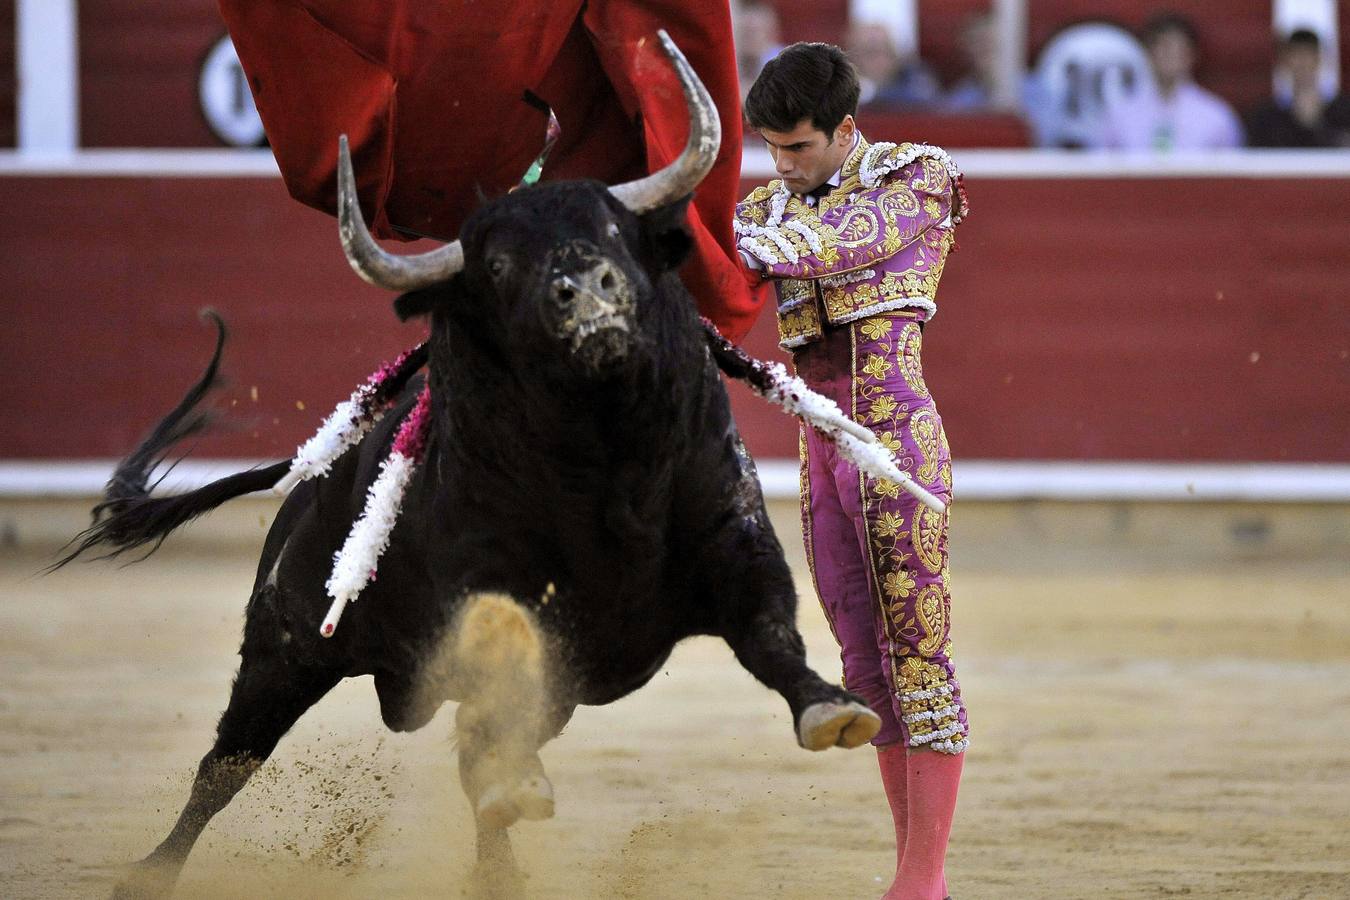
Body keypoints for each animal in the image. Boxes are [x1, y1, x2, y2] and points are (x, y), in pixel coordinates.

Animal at [68, 33, 880, 895]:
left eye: (614, 230)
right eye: (497, 267)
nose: (588, 291)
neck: (605, 451)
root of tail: (308, 489)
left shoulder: (732, 534)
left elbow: (770, 632)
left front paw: (831, 707)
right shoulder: (486, 577)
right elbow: (500, 657)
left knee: (471, 749)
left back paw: (500, 862)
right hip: (285, 645)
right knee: (230, 761)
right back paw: (152, 872)